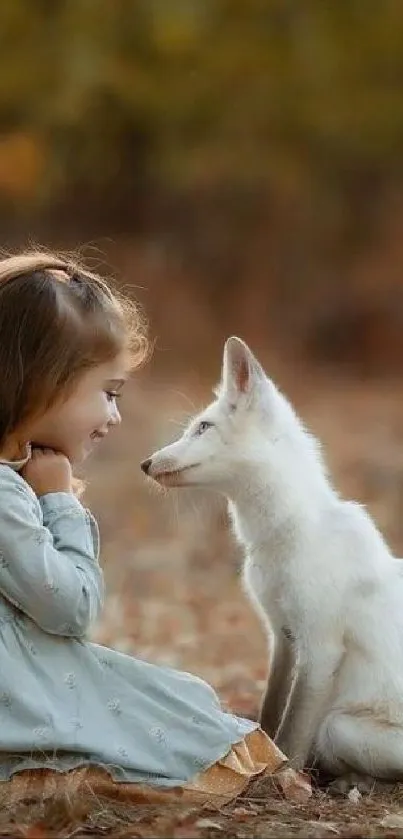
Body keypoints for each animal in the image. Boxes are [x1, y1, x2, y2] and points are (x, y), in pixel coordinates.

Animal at [141, 336, 403, 788]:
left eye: (203, 427)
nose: (146, 463)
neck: (284, 540)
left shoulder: (320, 645)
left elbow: (293, 733)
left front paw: (283, 779)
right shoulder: (281, 634)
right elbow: (270, 710)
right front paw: (261, 754)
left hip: (340, 727)